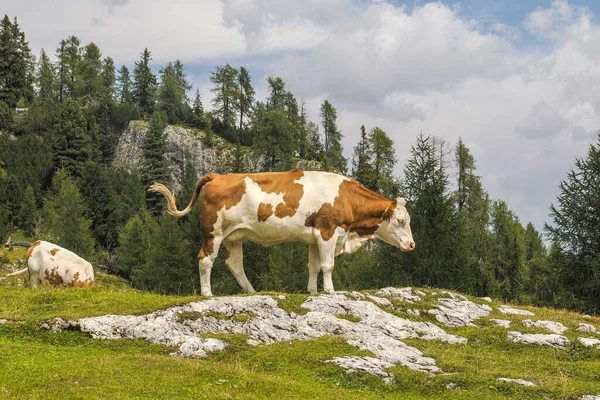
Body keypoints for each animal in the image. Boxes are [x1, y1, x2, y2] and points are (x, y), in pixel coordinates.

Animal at [150, 170, 414, 296]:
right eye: (400, 221)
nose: (412, 245)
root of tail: (218, 176)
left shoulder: (314, 237)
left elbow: (313, 266)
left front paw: (312, 290)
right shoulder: (328, 231)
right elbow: (328, 266)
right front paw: (330, 290)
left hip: (234, 236)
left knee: (235, 264)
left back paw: (251, 291)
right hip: (213, 231)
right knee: (205, 259)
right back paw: (207, 293)